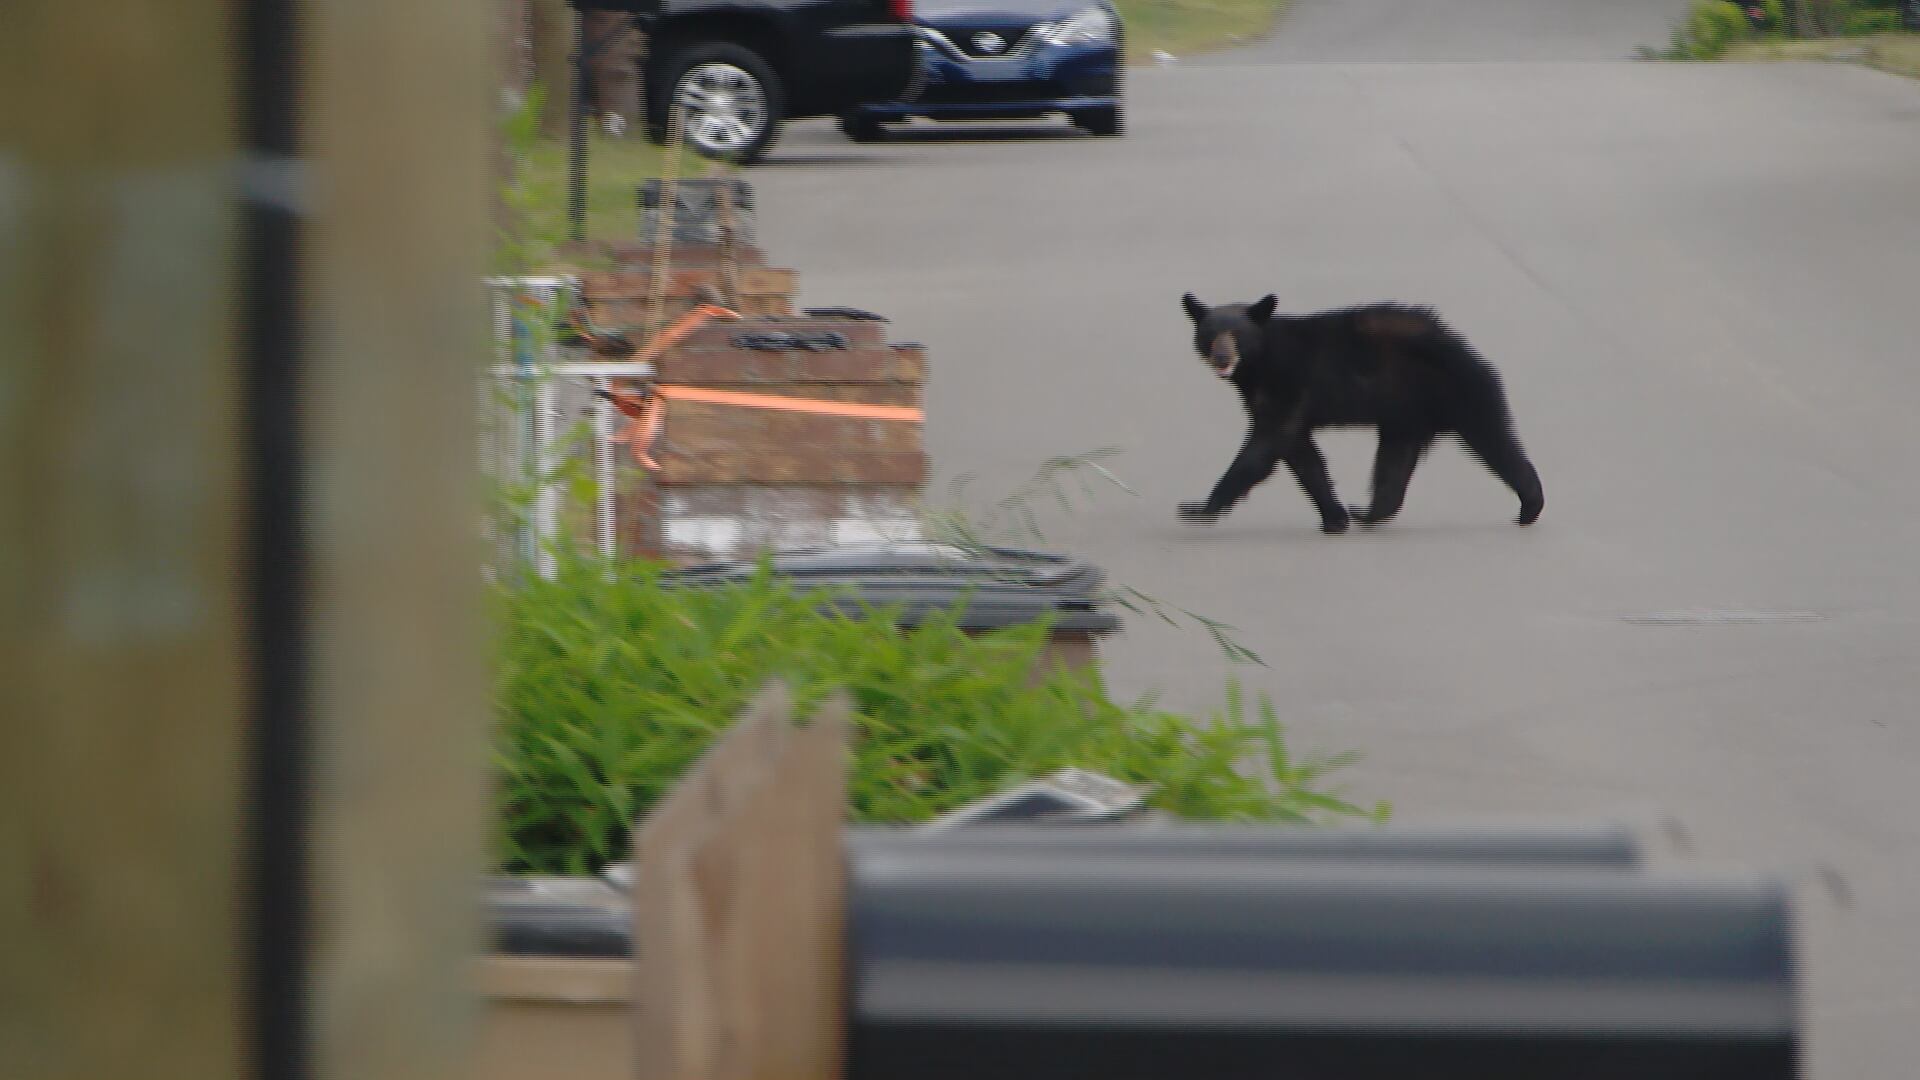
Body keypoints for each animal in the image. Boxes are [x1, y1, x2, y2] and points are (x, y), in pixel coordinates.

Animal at [1177, 292, 1544, 534]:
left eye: (1236, 334)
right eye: (1210, 334)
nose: (1222, 358)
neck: (1262, 361)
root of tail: (1466, 348)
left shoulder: (1288, 383)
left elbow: (1264, 446)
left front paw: (1199, 508)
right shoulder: (1283, 399)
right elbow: (1302, 455)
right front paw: (1334, 517)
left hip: (1457, 392)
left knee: (1494, 441)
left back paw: (1530, 505)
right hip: (1405, 414)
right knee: (1395, 461)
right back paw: (1368, 513)